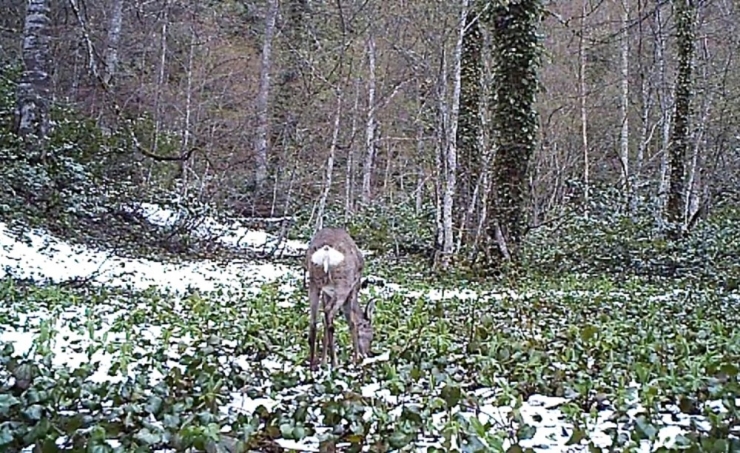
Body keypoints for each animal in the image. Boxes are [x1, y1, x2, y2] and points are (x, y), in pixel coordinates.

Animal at [304, 228, 376, 370]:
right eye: (371, 335)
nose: (368, 353)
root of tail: (326, 252)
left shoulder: (327, 293)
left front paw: (323, 361)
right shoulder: (353, 288)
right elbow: (352, 322)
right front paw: (356, 359)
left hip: (314, 282)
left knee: (315, 320)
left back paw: (313, 364)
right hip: (343, 284)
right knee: (329, 313)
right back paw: (335, 363)